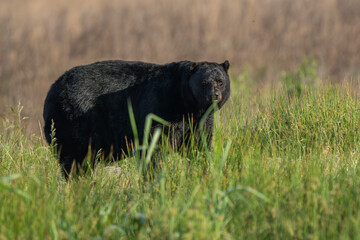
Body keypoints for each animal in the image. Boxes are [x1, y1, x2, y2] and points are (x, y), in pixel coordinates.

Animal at [43, 59, 231, 177]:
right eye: (204, 82)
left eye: (220, 81)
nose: (214, 95)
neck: (185, 103)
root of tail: (52, 89)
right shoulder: (158, 107)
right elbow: (152, 146)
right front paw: (153, 175)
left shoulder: (199, 122)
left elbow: (199, 145)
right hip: (73, 122)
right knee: (74, 159)